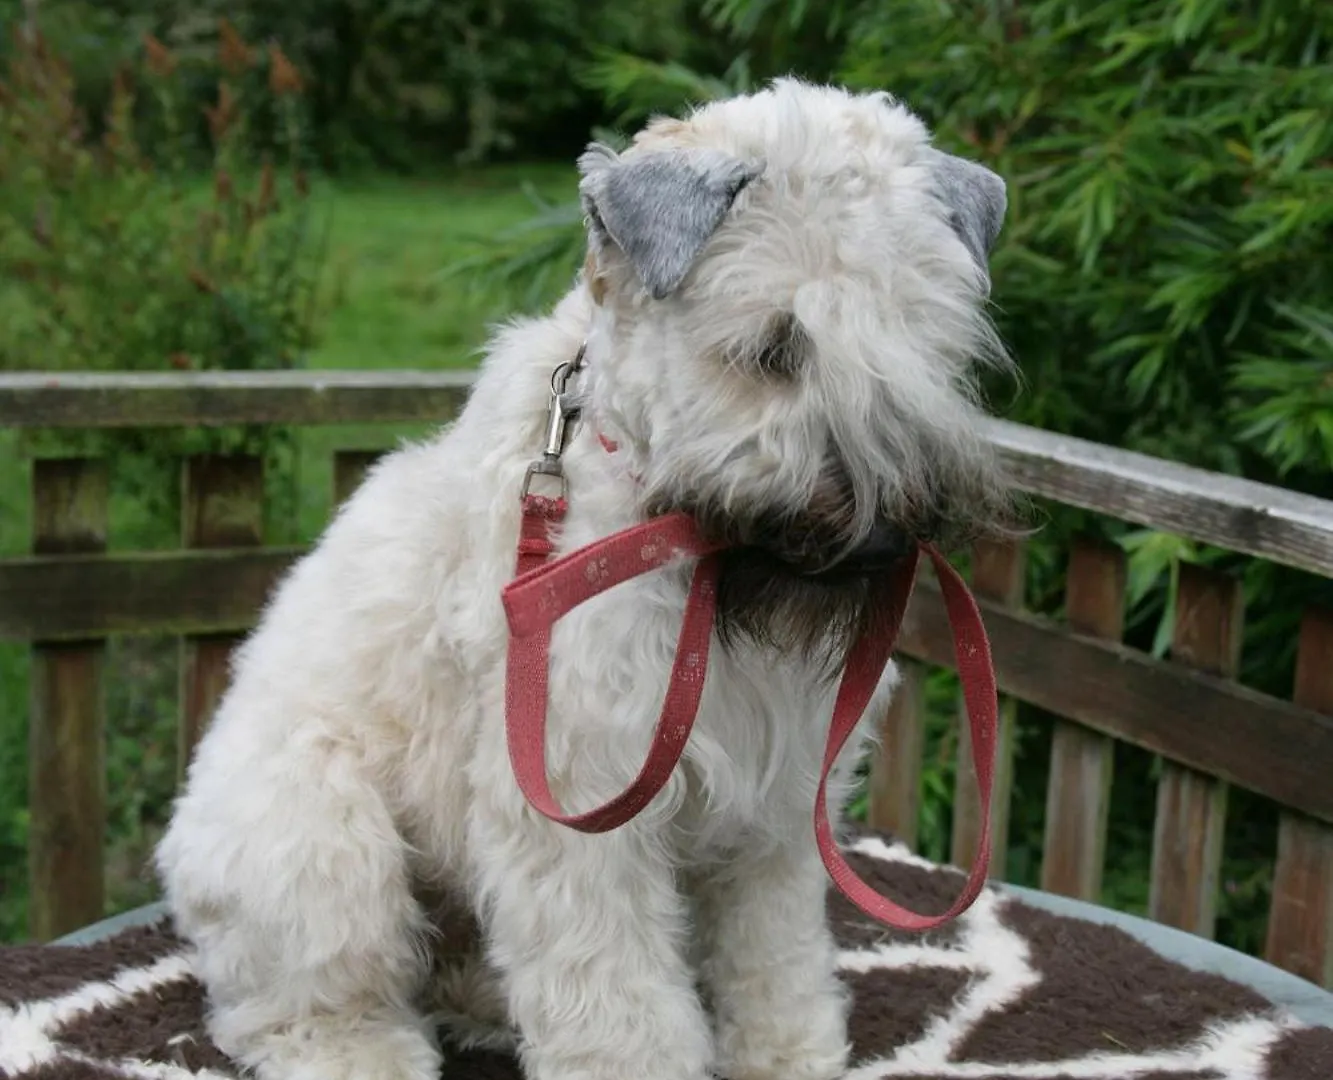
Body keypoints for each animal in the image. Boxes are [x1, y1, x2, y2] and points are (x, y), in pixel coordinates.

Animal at [155, 78, 1012, 1080]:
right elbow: (618, 990)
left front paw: (787, 1053)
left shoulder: (775, 795)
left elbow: (775, 953)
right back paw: (363, 1048)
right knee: (304, 991)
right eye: (773, 345)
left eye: (920, 334)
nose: (878, 543)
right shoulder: (581, 785)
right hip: (317, 835)